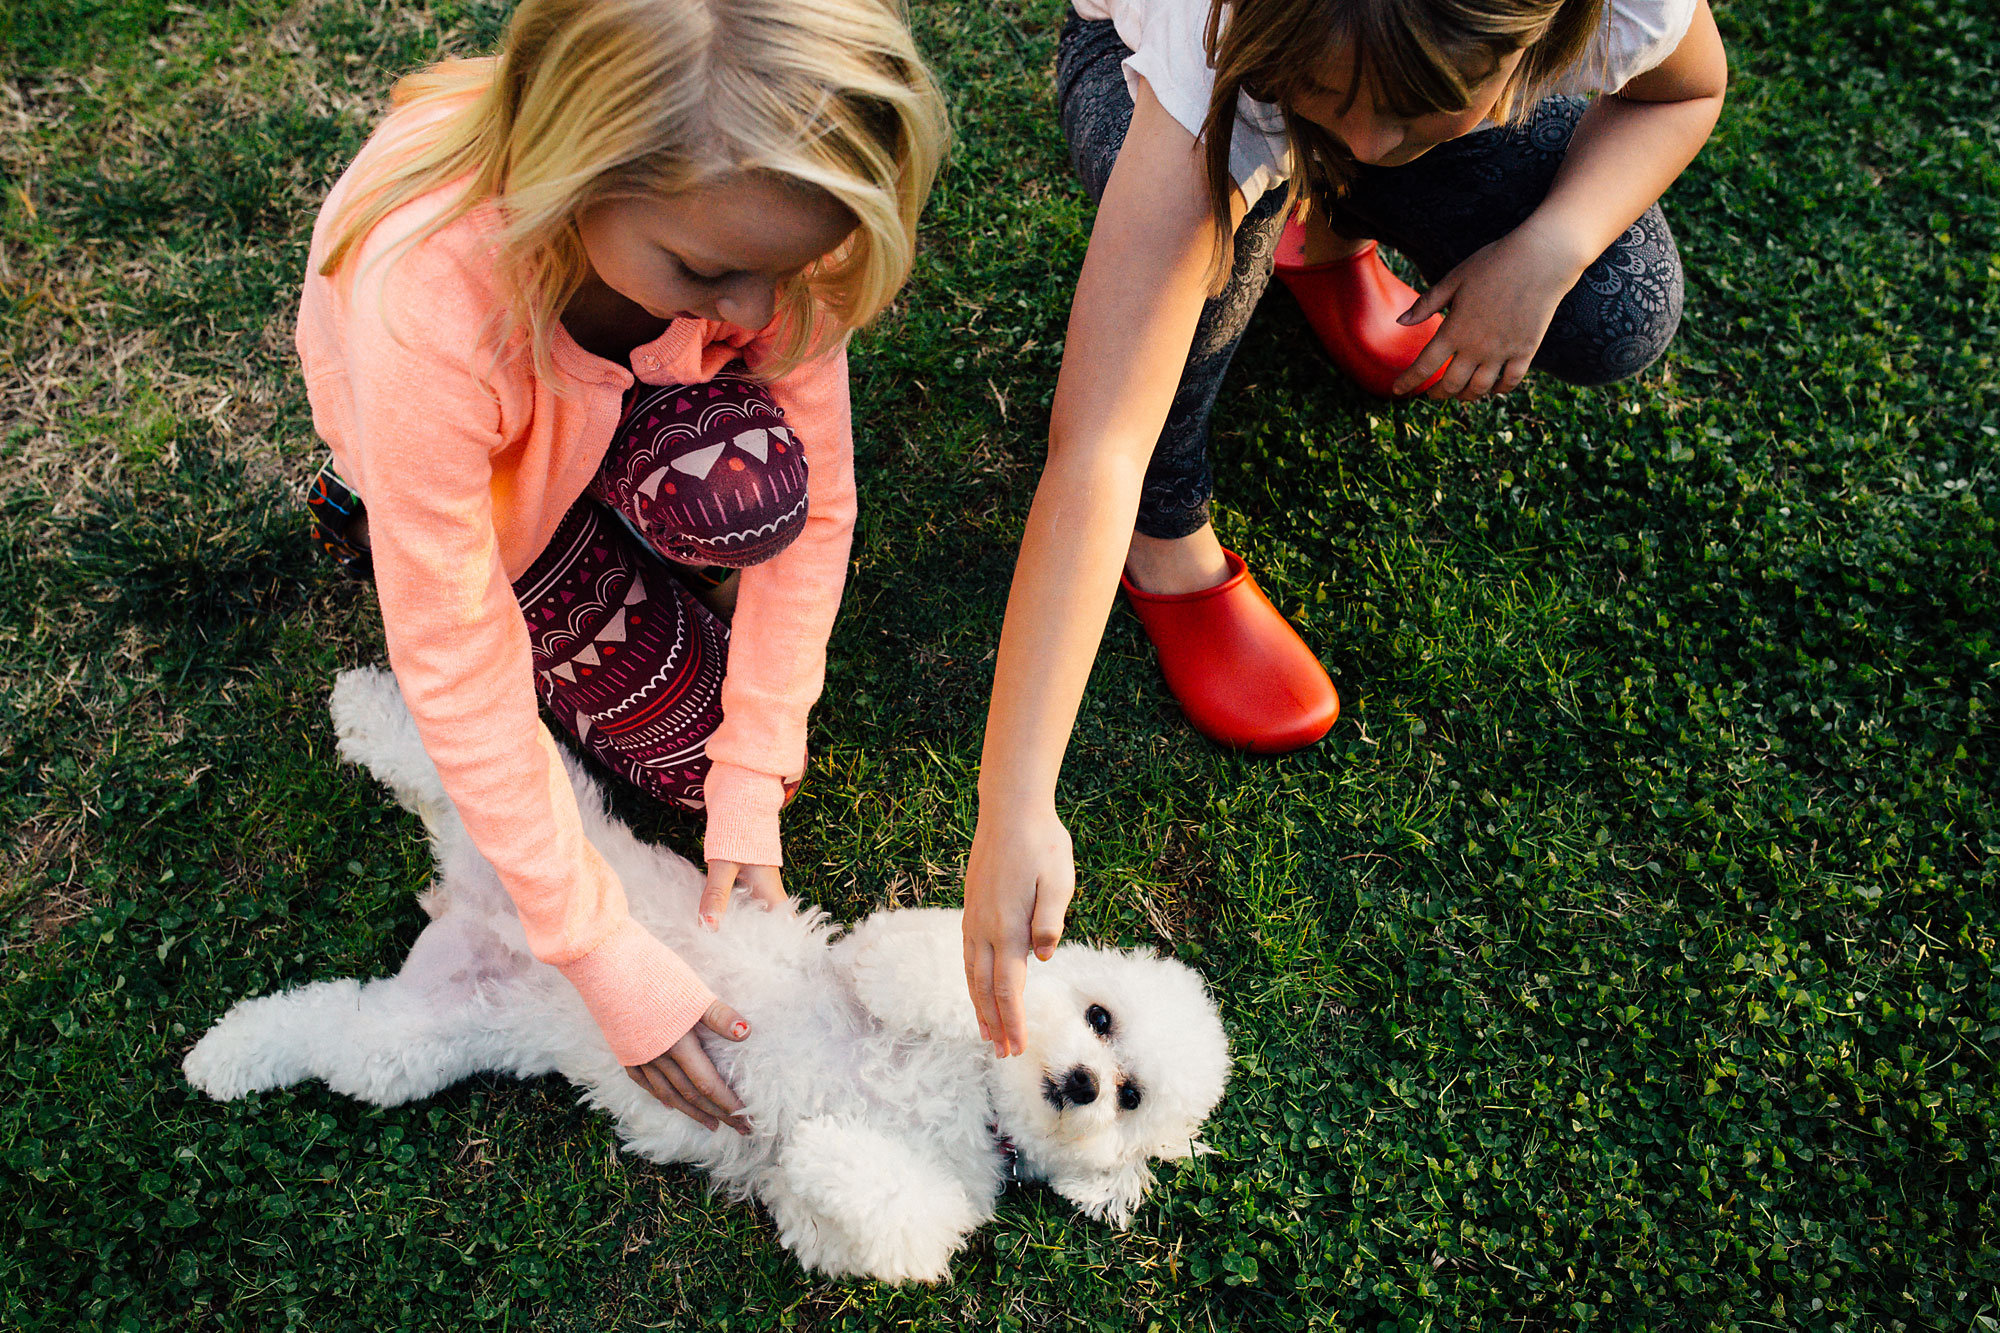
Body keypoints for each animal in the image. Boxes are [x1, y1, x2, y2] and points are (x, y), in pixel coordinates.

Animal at [180, 668, 1224, 1280]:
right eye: (1100, 1016)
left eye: (1130, 1098)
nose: (1082, 1080)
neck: (973, 1102)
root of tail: (468, 907)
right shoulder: (876, 957)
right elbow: (914, 963)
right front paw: (985, 999)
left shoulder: (869, 1218)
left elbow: (889, 1216)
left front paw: (821, 1145)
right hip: (544, 824)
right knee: (458, 761)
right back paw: (365, 706)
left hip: (411, 1044)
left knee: (323, 1026)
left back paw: (221, 1056)